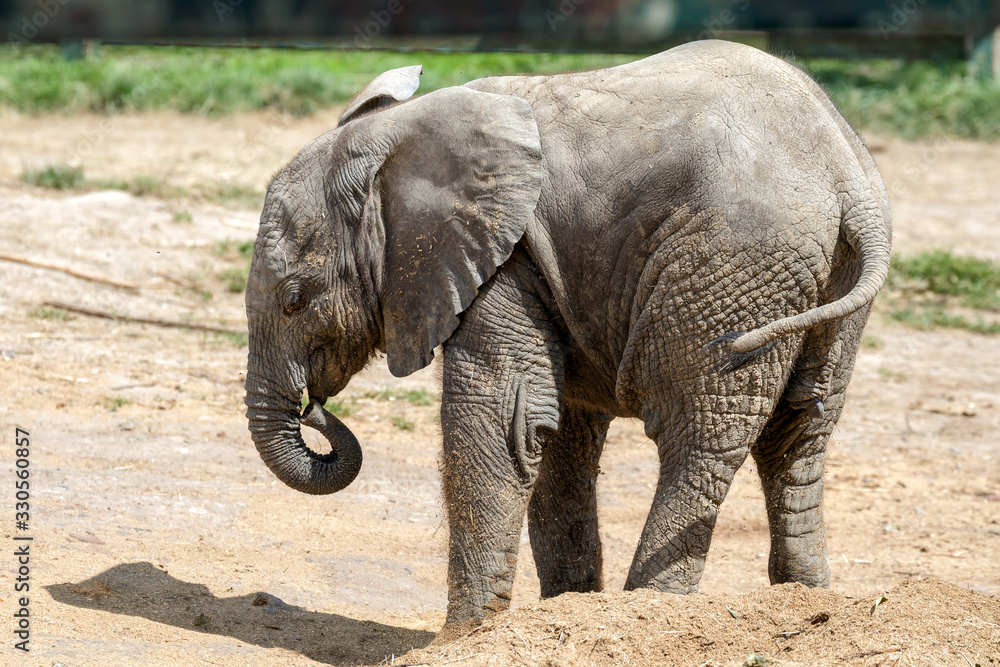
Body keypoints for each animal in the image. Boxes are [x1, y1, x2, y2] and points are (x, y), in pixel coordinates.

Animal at [243, 39, 891, 634]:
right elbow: (557, 434)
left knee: (699, 433)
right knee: (797, 435)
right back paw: (804, 601)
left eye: (294, 299)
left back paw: (650, 610)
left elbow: (503, 418)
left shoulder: (503, 260)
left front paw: (464, 638)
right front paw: (567, 609)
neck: (398, 138)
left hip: (730, 266)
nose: (314, 408)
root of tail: (848, 181)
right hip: (815, 288)